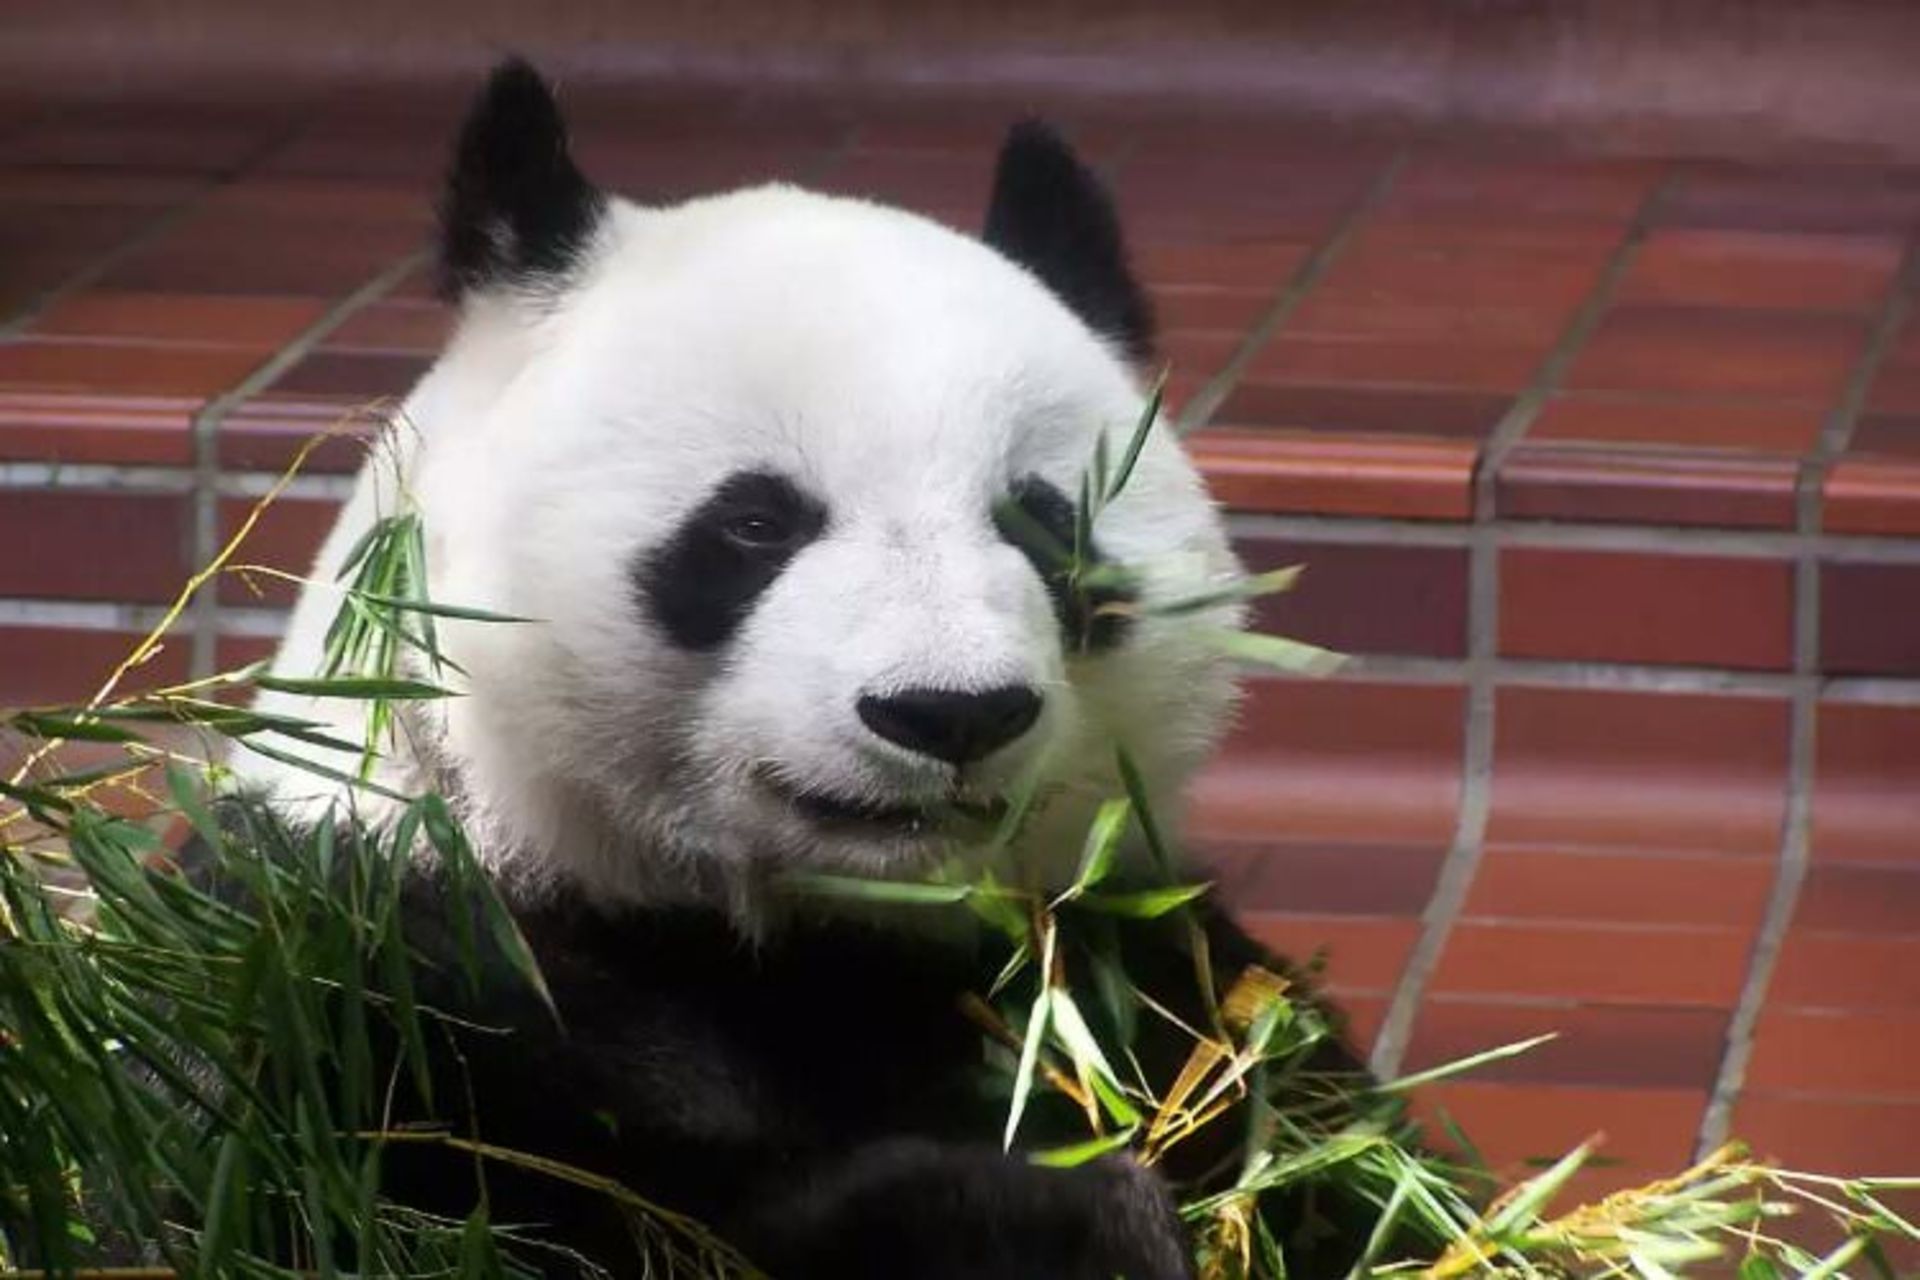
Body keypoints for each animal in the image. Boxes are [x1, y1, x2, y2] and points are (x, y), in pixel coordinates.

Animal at [228, 62, 1382, 1280]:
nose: (950, 712)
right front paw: (1052, 1212)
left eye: (1038, 519)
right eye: (754, 523)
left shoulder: (1143, 957)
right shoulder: (388, 962)